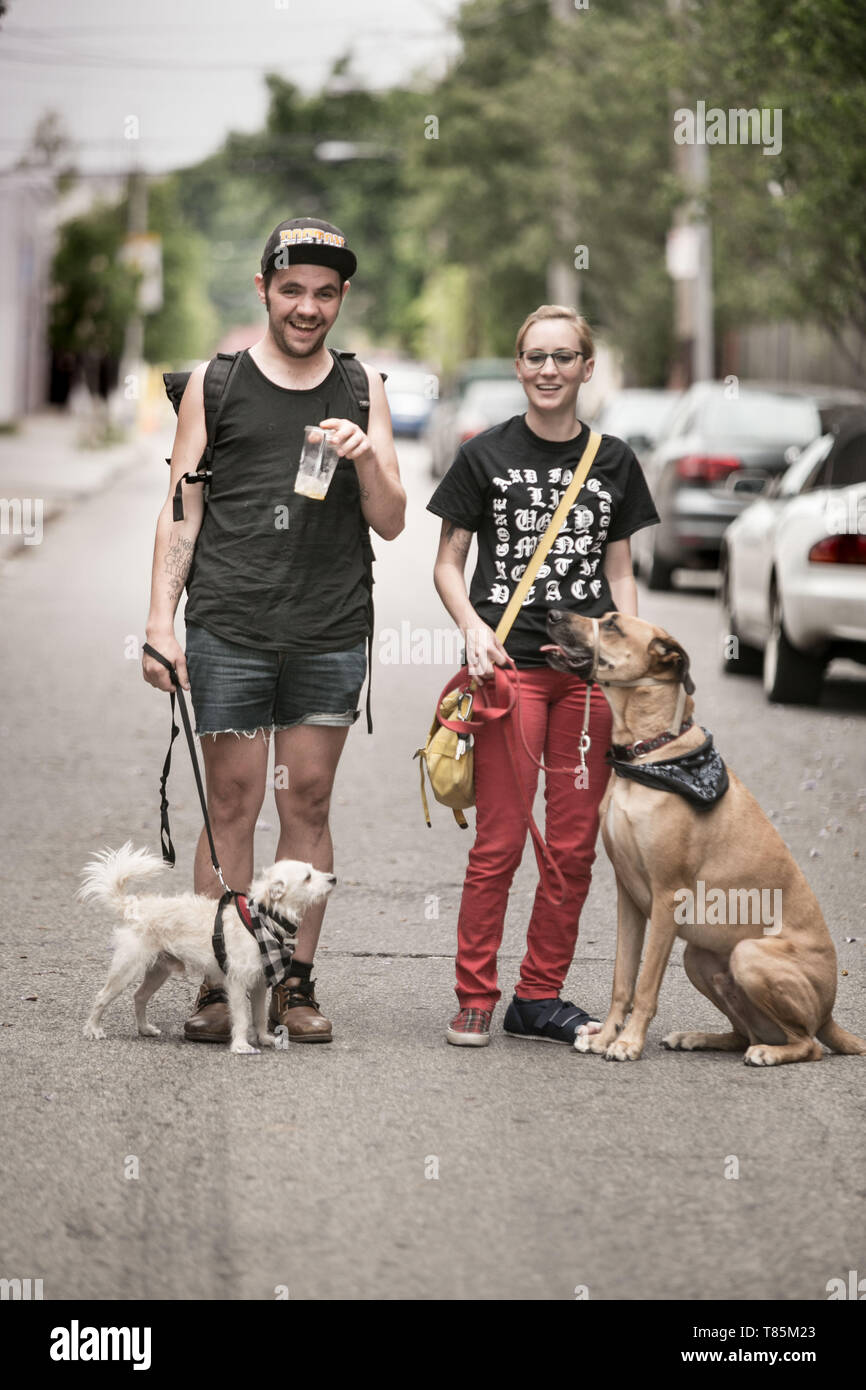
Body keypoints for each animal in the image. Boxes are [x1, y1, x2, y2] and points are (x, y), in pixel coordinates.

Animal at [81, 845, 337, 1050]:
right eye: (307, 877)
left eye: (313, 870)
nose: (333, 879)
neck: (263, 919)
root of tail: (133, 907)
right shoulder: (237, 983)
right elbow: (242, 1018)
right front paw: (241, 1046)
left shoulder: (258, 985)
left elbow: (259, 1017)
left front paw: (264, 1039)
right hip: (127, 968)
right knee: (102, 996)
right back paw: (93, 1029)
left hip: (158, 970)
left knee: (139, 996)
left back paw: (144, 1029)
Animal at [544, 606, 861, 1061]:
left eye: (612, 624)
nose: (551, 612)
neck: (649, 754)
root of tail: (831, 1013)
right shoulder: (629, 897)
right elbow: (623, 978)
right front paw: (605, 1036)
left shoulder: (666, 897)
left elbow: (644, 985)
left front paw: (627, 1043)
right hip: (699, 958)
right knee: (746, 1032)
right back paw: (697, 1038)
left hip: (748, 954)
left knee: (807, 1044)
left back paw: (770, 1053)